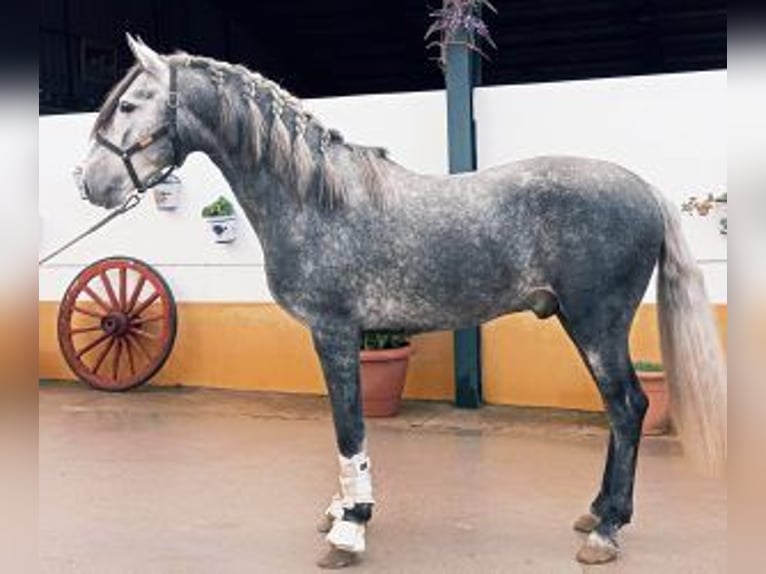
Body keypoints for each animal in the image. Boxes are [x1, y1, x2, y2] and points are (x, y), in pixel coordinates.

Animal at [76, 35, 726, 568]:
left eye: (129, 106)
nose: (89, 183)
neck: (317, 200)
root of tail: (645, 189)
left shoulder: (335, 331)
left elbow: (349, 427)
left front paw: (350, 529)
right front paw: (343, 511)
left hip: (597, 323)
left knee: (628, 407)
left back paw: (606, 530)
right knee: (619, 411)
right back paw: (595, 511)